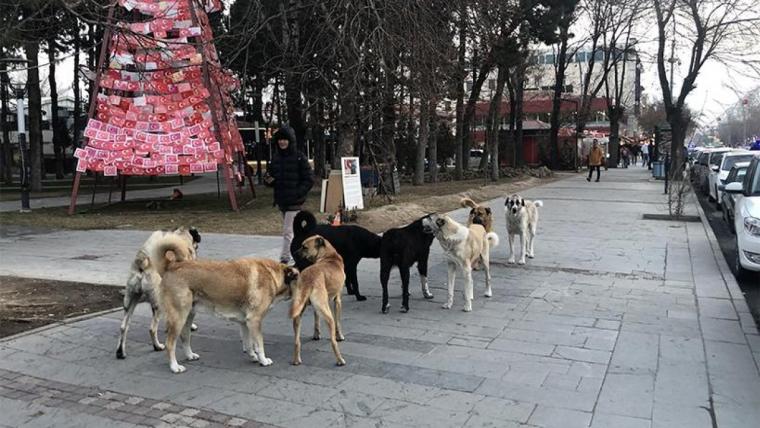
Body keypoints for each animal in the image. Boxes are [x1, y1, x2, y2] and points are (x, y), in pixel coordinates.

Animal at [115, 226, 199, 360]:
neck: (181, 237)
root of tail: (142, 265)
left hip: (131, 301)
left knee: (124, 327)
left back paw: (120, 352)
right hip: (157, 304)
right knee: (152, 329)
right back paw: (157, 346)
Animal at [151, 234, 300, 374]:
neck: (274, 276)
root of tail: (172, 266)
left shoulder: (245, 323)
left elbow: (249, 343)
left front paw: (253, 356)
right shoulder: (255, 320)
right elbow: (259, 344)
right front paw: (263, 360)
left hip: (188, 316)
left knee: (184, 337)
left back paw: (189, 355)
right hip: (179, 317)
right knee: (170, 344)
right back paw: (174, 367)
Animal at [290, 236, 348, 366]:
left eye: (304, 247)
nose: (294, 253)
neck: (328, 256)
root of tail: (308, 279)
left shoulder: (316, 307)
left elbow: (316, 319)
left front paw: (316, 335)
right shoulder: (338, 300)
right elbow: (338, 322)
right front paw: (340, 336)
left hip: (298, 314)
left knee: (296, 341)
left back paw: (296, 360)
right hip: (328, 315)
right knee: (333, 341)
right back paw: (340, 360)